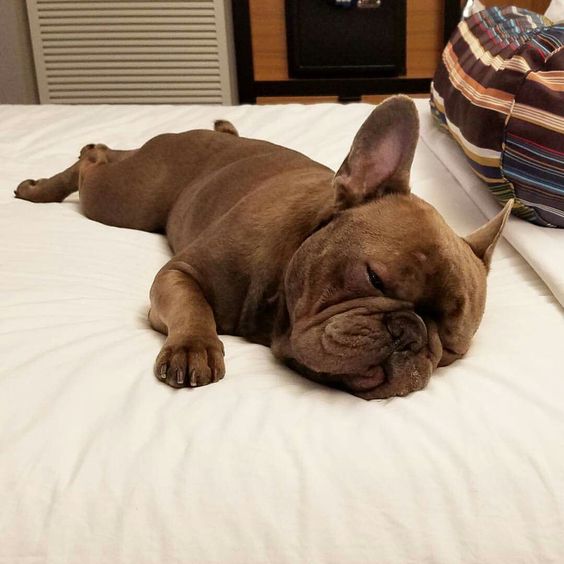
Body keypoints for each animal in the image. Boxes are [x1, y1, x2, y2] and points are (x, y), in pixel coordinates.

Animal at [16, 96, 512, 396]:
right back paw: (39, 187)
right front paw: (193, 347)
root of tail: (204, 133)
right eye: (374, 278)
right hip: (124, 200)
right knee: (91, 158)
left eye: (451, 347)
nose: (410, 333)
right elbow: (192, 306)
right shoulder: (179, 273)